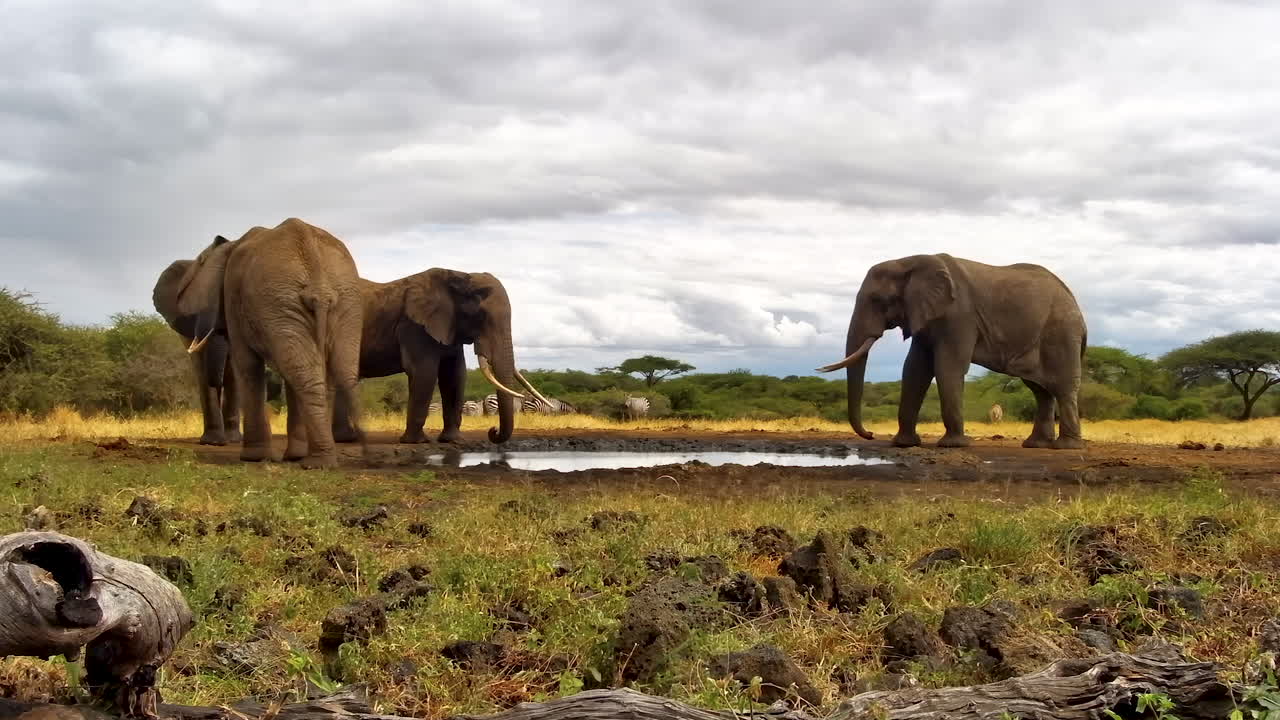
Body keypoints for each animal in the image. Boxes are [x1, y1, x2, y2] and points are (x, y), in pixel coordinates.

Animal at [175, 218, 365, 468]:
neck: (231, 244)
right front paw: (293, 456)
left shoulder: (234, 296)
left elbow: (247, 365)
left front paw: (253, 458)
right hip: (340, 302)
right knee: (333, 369)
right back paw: (319, 459)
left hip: (283, 300)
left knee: (302, 371)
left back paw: (317, 463)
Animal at [328, 269, 547, 445]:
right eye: (481, 316)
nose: (492, 431)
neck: (458, 277)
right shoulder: (415, 327)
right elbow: (424, 372)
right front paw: (416, 442)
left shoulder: (450, 327)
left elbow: (454, 376)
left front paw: (452, 440)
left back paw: (346, 439)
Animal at [817, 253, 1086, 450]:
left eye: (877, 300)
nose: (871, 434)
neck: (910, 262)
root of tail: (1075, 303)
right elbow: (915, 369)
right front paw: (904, 444)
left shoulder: (959, 315)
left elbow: (948, 366)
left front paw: (953, 445)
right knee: (1040, 390)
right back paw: (1036, 445)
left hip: (1061, 333)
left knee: (1062, 387)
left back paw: (1066, 447)